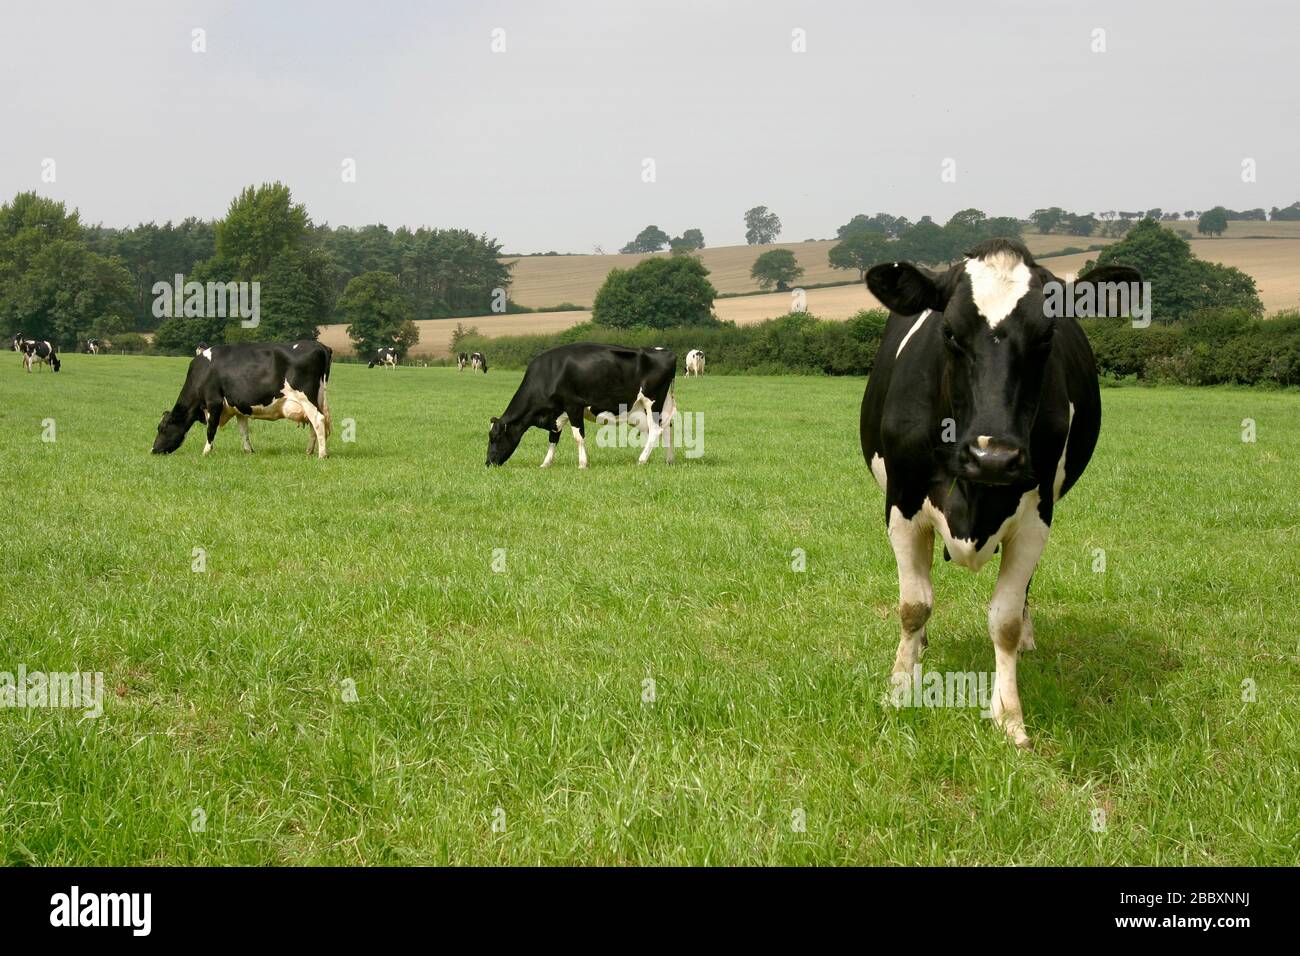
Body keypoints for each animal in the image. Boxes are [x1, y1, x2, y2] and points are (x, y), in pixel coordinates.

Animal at [151, 340, 330, 460]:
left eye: (162, 428)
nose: (153, 450)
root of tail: (320, 346)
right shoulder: (239, 406)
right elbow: (244, 431)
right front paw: (248, 451)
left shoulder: (213, 402)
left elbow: (211, 429)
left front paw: (206, 451)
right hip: (317, 400)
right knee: (314, 424)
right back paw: (309, 451)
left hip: (306, 398)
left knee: (318, 420)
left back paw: (322, 454)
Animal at [488, 343, 681, 470]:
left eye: (495, 437)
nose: (488, 463)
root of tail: (667, 352)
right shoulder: (558, 413)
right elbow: (553, 438)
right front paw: (545, 463)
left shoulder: (573, 405)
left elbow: (578, 437)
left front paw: (582, 464)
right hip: (658, 405)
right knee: (667, 428)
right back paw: (669, 460)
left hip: (652, 402)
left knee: (655, 430)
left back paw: (641, 460)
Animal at [863, 238, 1138, 749]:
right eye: (950, 332)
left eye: (1047, 336)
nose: (993, 456)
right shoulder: (902, 504)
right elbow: (913, 606)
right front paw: (900, 688)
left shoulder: (1035, 518)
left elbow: (1004, 620)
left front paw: (1010, 716)